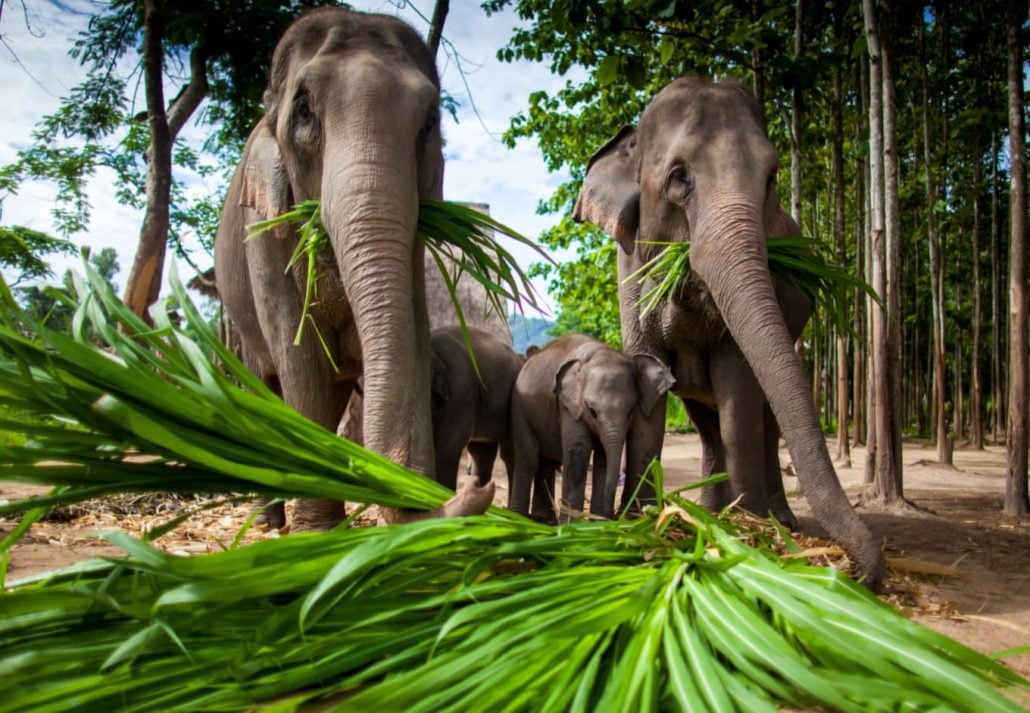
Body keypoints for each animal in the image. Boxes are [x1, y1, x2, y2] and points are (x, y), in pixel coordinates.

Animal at [213, 5, 490, 527]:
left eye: (429, 122)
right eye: (304, 110)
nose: (474, 487)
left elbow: (412, 338)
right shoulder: (264, 232)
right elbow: (301, 359)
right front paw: (317, 532)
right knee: (265, 384)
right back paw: (268, 520)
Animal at [508, 331, 675, 521]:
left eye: (631, 411)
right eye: (592, 411)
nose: (612, 515)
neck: (597, 353)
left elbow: (603, 459)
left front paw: (596, 522)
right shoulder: (568, 405)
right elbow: (578, 450)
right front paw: (572, 525)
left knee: (547, 462)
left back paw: (544, 519)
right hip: (519, 407)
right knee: (528, 458)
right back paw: (518, 517)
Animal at [572, 76, 885, 589]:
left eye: (772, 177)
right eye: (680, 176)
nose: (854, 573)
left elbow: (739, 385)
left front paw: (749, 528)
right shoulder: (628, 272)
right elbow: (648, 376)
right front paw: (642, 520)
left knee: (765, 420)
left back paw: (775, 519)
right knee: (704, 424)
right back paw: (708, 510)